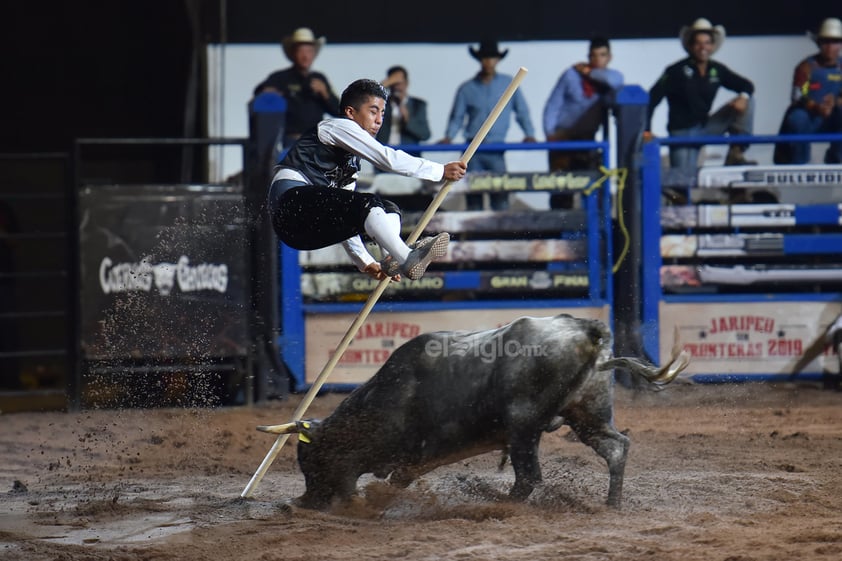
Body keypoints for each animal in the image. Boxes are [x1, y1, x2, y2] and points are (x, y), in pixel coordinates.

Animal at [258, 312, 688, 510]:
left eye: (310, 457)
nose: (301, 502)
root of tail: (586, 329)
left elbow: (394, 478)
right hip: (587, 417)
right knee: (616, 447)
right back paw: (611, 504)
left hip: (523, 428)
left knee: (528, 478)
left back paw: (501, 504)